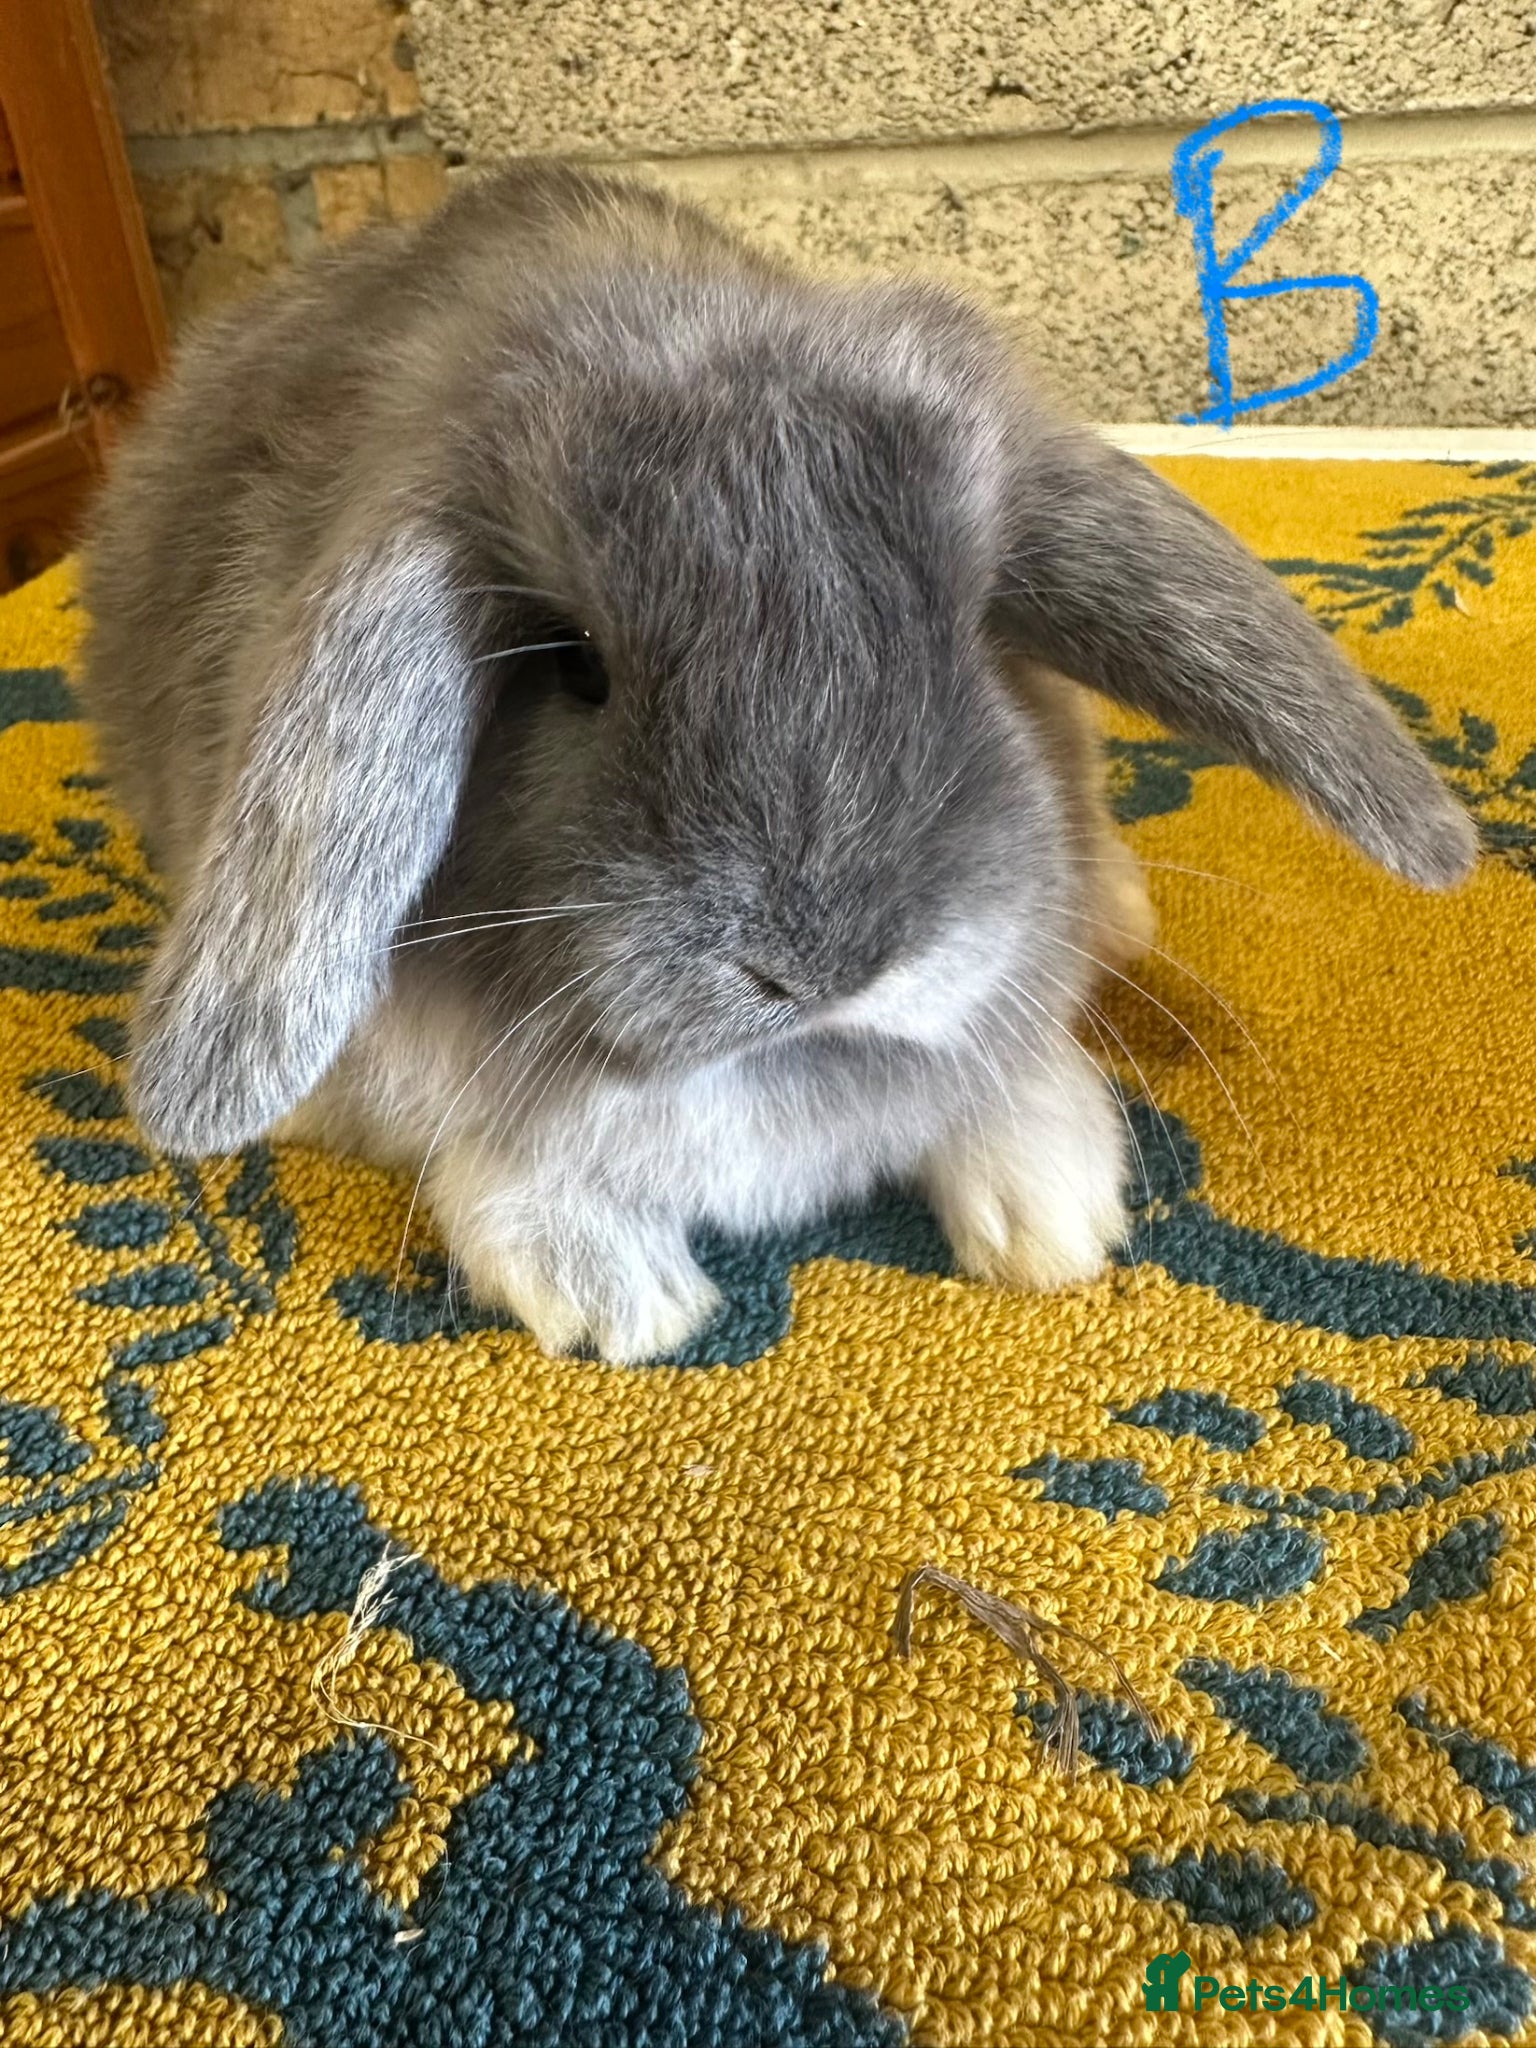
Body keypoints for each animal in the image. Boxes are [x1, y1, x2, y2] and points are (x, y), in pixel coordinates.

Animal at [77, 160, 1477, 1365]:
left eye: (973, 632)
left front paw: (1056, 1217)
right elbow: (492, 1163)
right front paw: (621, 1298)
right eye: (573, 660)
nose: (825, 967)